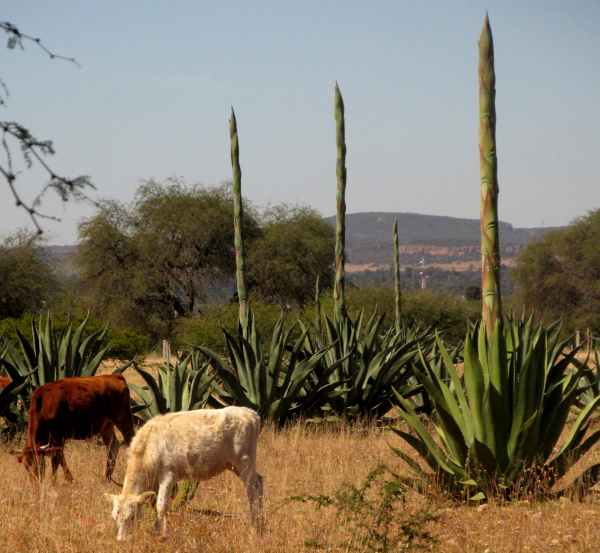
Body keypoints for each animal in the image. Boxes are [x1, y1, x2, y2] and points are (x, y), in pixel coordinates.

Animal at [105, 406, 262, 540]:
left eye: (131, 517)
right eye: (114, 518)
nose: (121, 540)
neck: (148, 447)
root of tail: (251, 413)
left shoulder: (168, 474)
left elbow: (161, 506)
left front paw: (162, 534)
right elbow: (155, 506)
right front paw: (157, 530)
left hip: (244, 462)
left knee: (252, 490)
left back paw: (254, 527)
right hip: (234, 465)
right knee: (259, 482)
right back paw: (261, 525)